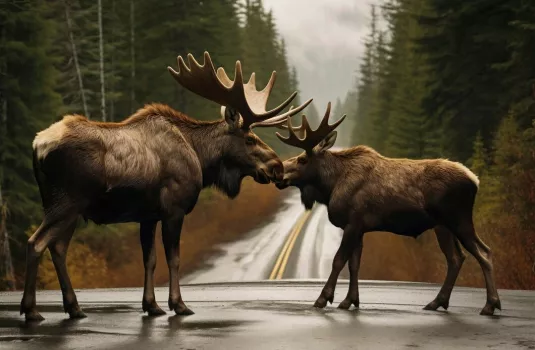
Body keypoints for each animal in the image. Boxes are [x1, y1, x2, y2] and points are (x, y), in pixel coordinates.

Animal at [23, 50, 312, 322]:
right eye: (250, 139)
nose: (277, 166)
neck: (201, 157)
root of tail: (37, 145)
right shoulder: (174, 209)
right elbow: (173, 259)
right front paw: (179, 304)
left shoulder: (148, 215)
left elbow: (150, 260)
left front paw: (151, 305)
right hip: (67, 202)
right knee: (36, 243)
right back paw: (31, 310)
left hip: (66, 208)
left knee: (57, 248)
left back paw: (74, 308)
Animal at [276, 102, 502, 316]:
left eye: (302, 159)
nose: (279, 174)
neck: (331, 186)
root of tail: (475, 181)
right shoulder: (359, 227)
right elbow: (354, 264)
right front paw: (350, 300)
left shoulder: (353, 222)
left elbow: (339, 260)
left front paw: (323, 298)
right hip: (442, 226)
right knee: (456, 258)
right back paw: (437, 302)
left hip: (458, 219)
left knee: (484, 252)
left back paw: (490, 305)